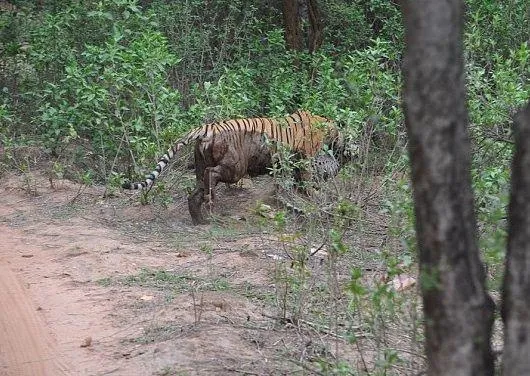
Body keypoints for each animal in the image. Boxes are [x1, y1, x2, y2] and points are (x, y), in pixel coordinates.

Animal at [124, 110, 346, 225]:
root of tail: (206, 127)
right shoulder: (305, 158)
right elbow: (306, 180)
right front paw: (313, 195)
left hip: (200, 165)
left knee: (195, 192)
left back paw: (201, 220)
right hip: (234, 167)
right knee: (211, 176)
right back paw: (211, 206)